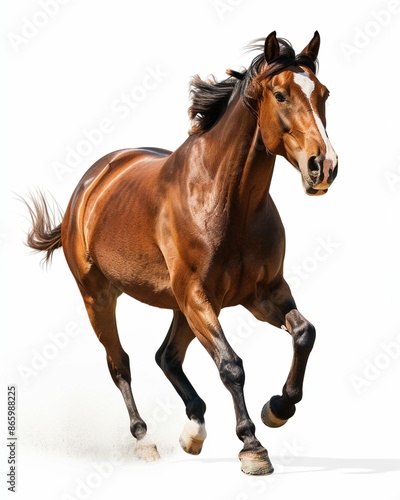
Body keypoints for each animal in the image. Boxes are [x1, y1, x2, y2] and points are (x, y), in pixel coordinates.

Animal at [23, 32, 336, 476]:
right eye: (280, 94)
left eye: (323, 93)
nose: (324, 166)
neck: (228, 200)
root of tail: (90, 184)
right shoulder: (197, 296)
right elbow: (231, 366)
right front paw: (252, 446)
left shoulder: (261, 294)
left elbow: (304, 333)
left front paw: (278, 408)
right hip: (100, 297)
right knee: (120, 364)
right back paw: (144, 440)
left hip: (182, 305)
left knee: (166, 356)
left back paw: (194, 431)